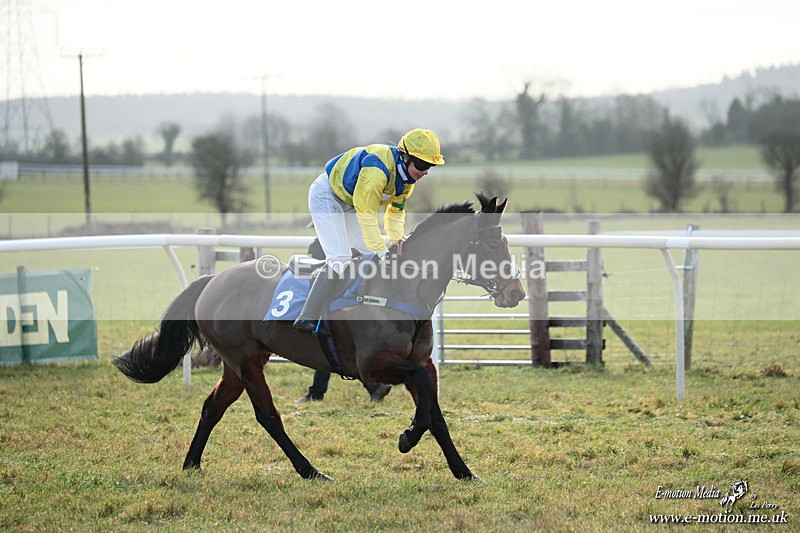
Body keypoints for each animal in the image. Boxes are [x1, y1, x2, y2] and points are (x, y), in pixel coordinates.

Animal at [113, 193, 525, 480]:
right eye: (492, 245)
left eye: (505, 244)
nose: (516, 293)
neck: (399, 287)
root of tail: (212, 279)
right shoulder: (374, 365)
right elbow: (421, 397)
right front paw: (407, 437)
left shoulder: (420, 361)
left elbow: (435, 415)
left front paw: (464, 471)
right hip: (243, 358)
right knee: (268, 416)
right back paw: (310, 470)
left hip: (240, 361)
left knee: (212, 407)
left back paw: (192, 464)